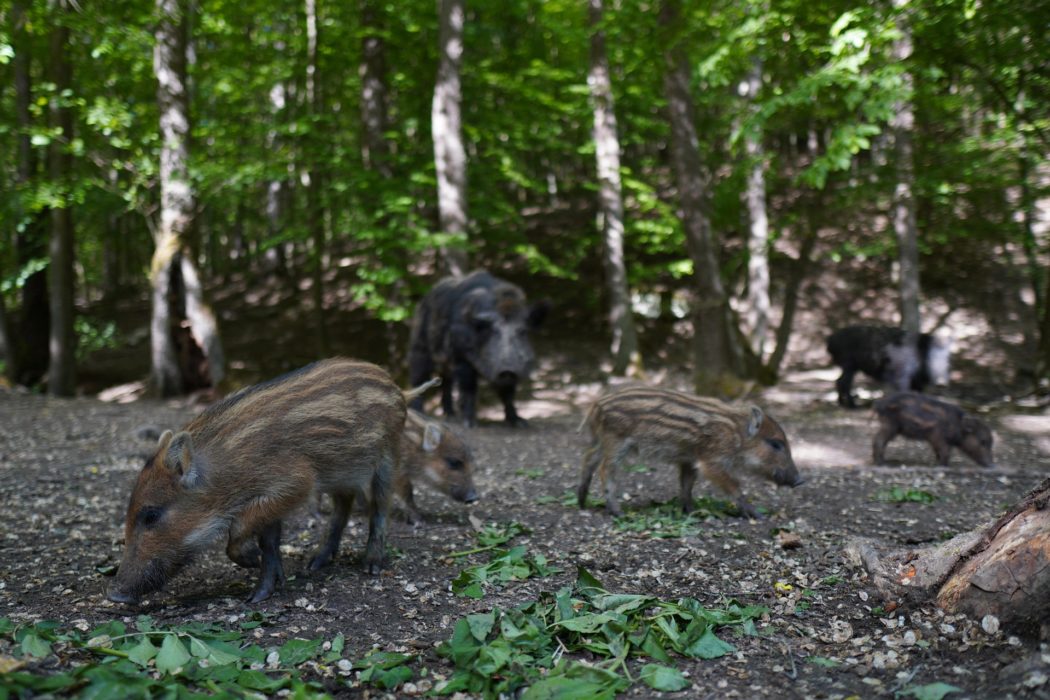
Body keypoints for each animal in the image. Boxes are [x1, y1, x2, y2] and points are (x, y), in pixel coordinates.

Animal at [107, 358, 404, 605]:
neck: (227, 471)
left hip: (388, 456)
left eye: (151, 515)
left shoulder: (296, 482)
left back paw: (372, 565)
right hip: (342, 474)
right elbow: (269, 541)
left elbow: (241, 528)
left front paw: (253, 566)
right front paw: (266, 589)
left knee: (380, 507)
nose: (115, 595)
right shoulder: (272, 498)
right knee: (344, 505)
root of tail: (392, 383)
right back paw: (316, 562)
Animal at [408, 269, 548, 428]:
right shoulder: (461, 356)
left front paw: (519, 422)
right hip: (420, 347)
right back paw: (420, 413)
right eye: (493, 331)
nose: (507, 370)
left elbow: (508, 394)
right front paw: (469, 424)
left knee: (446, 383)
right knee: (419, 377)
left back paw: (450, 417)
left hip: (445, 362)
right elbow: (469, 388)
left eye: (522, 331)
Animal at [576, 385, 803, 519]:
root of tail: (596, 405)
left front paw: (690, 511)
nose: (800, 480)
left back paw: (581, 502)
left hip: (603, 441)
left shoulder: (689, 459)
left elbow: (687, 484)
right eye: (776, 444)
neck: (736, 434)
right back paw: (617, 512)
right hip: (616, 442)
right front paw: (756, 515)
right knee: (605, 470)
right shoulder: (712, 460)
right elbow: (734, 485)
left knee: (588, 458)